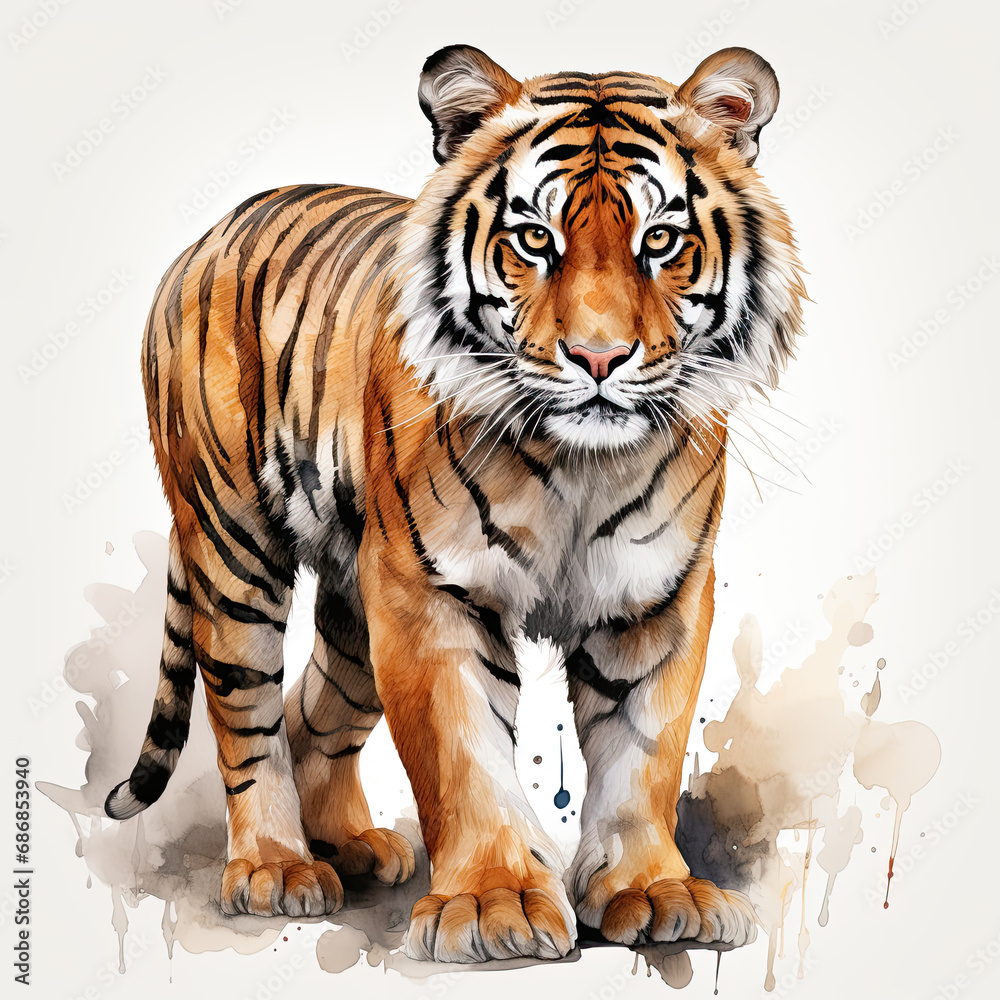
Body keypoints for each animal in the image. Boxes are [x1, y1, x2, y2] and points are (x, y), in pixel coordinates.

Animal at [105, 44, 805, 962]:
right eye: (535, 239)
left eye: (660, 240)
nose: (599, 357)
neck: (581, 465)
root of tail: (208, 234)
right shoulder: (429, 591)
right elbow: (461, 753)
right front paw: (493, 904)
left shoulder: (657, 596)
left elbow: (642, 753)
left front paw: (654, 891)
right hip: (234, 550)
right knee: (248, 714)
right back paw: (277, 867)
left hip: (352, 604)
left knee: (313, 711)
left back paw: (349, 846)